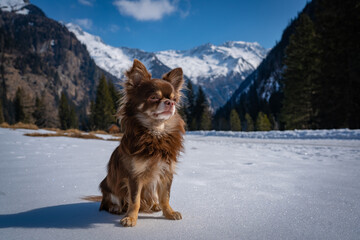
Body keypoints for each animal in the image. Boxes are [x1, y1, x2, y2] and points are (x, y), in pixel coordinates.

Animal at [99, 58, 186, 227]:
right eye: (154, 97)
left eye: (174, 99)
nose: (170, 103)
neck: (155, 133)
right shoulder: (134, 175)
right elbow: (135, 200)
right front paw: (131, 218)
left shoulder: (166, 172)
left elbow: (165, 196)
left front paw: (169, 213)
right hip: (109, 185)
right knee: (108, 201)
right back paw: (115, 208)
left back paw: (155, 205)